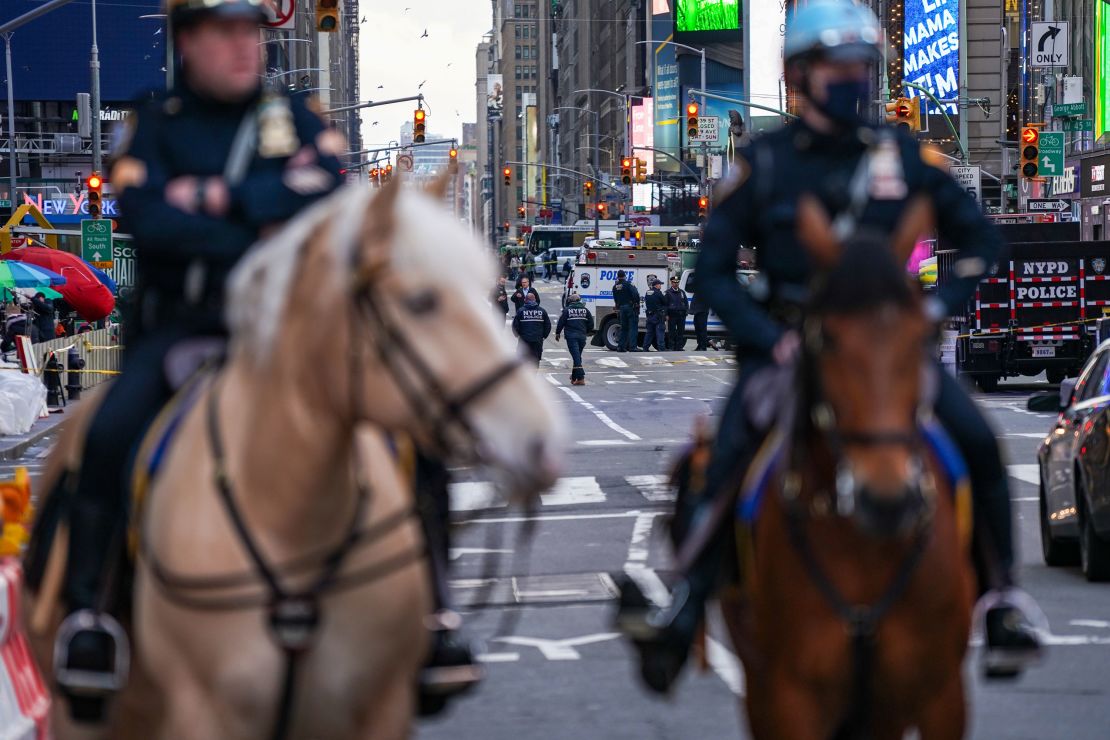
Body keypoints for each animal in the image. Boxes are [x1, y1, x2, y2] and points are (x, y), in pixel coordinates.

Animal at [22, 177, 568, 740]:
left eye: (485, 288)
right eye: (421, 301)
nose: (541, 440)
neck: (290, 503)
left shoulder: (378, 709)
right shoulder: (205, 712)